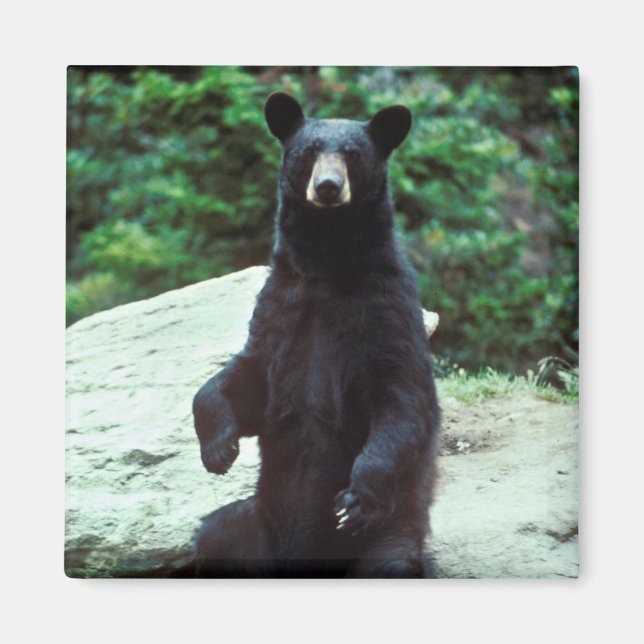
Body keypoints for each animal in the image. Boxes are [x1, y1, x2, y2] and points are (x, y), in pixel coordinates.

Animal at [192, 92, 440, 578]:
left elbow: (402, 399)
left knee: (391, 563)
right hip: (254, 527)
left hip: (388, 539)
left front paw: (355, 501)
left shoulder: (386, 308)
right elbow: (248, 377)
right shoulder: (282, 303)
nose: (327, 186)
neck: (327, 265)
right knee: (212, 537)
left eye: (353, 154)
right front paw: (219, 449)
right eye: (308, 151)